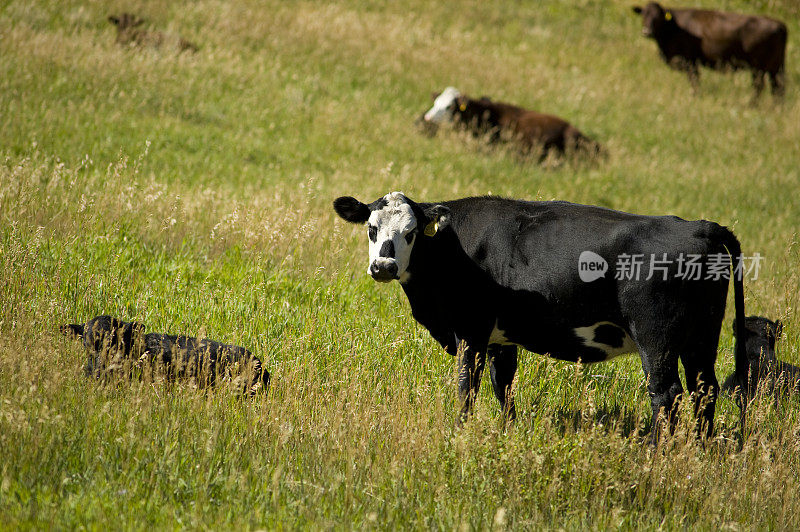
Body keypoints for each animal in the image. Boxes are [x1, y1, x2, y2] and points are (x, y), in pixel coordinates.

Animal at [334, 193, 748, 442]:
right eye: (372, 228)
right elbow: (503, 386)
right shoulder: (501, 338)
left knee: (666, 394)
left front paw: (460, 435)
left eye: (412, 232)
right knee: (704, 390)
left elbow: (467, 388)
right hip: (702, 337)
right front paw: (507, 432)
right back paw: (701, 449)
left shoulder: (471, 331)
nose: (384, 266)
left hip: (657, 341)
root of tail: (699, 226)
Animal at [632, 3, 788, 98]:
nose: (646, 31)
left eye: (657, 17)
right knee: (777, 89)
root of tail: (779, 24)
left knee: (759, 87)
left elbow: (695, 81)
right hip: (775, 68)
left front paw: (695, 97)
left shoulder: (690, 62)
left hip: (758, 68)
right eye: (643, 15)